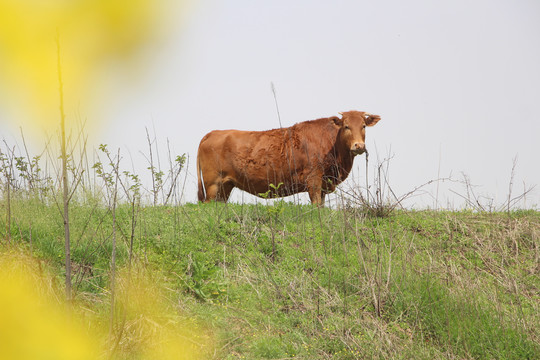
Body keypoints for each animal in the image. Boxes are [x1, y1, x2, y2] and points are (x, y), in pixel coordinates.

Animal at [197, 109, 380, 205]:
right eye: (346, 126)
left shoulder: (324, 184)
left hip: (225, 186)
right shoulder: (314, 179)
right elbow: (316, 205)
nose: (359, 146)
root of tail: (212, 133)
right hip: (212, 184)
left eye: (363, 126)